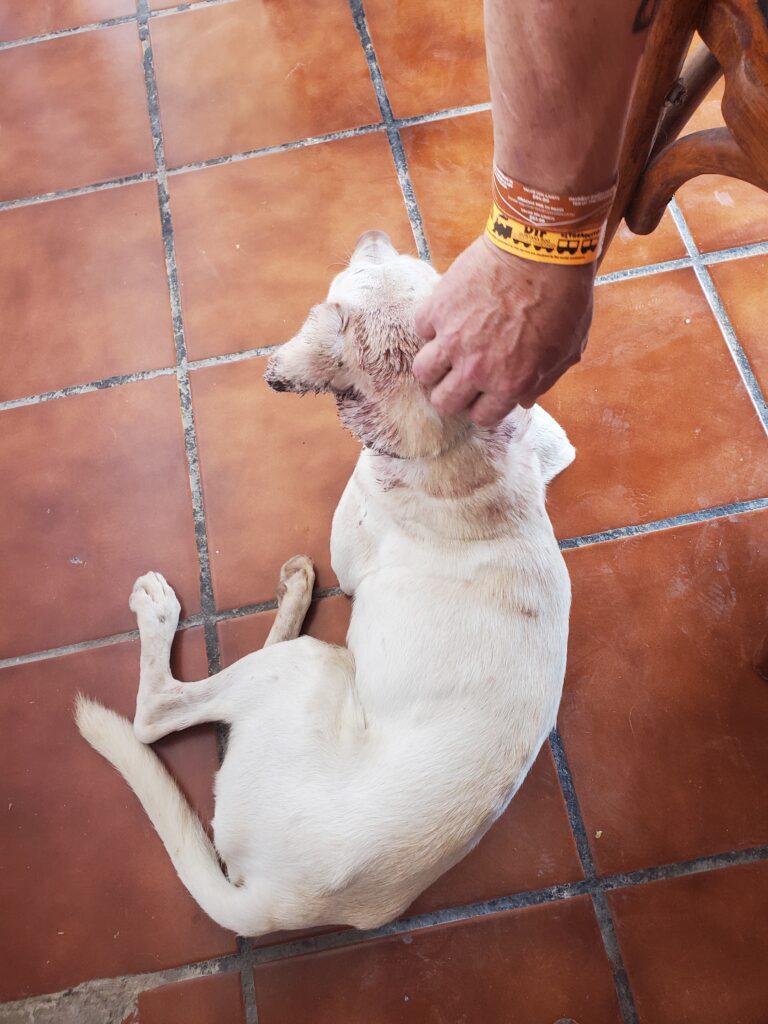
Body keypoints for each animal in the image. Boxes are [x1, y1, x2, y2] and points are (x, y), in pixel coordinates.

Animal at [75, 230, 573, 937]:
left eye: (344, 285)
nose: (372, 233)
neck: (465, 459)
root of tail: (281, 901)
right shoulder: (547, 440)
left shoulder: (352, 540)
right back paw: (294, 593)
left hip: (307, 670)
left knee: (158, 712)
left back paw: (163, 611)